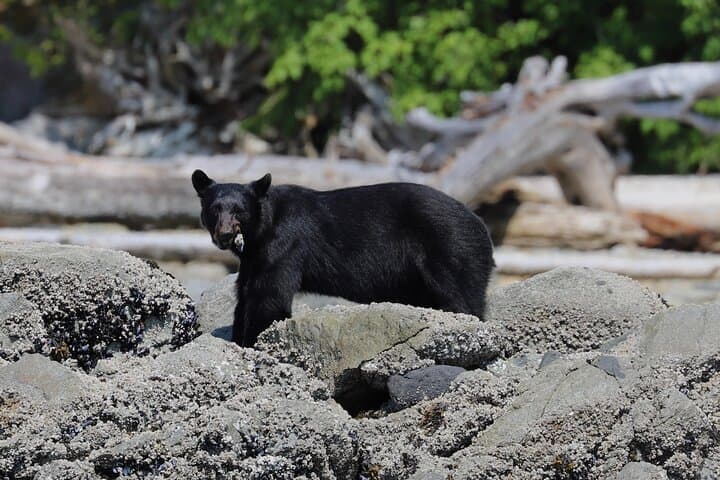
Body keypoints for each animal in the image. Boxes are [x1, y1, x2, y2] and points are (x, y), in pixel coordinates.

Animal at [192, 169, 494, 347]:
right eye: (214, 209)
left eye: (239, 211)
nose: (225, 235)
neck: (263, 228)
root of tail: (482, 225)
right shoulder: (254, 257)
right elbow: (245, 293)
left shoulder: (285, 244)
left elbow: (270, 295)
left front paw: (253, 341)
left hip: (451, 249)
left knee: (463, 297)